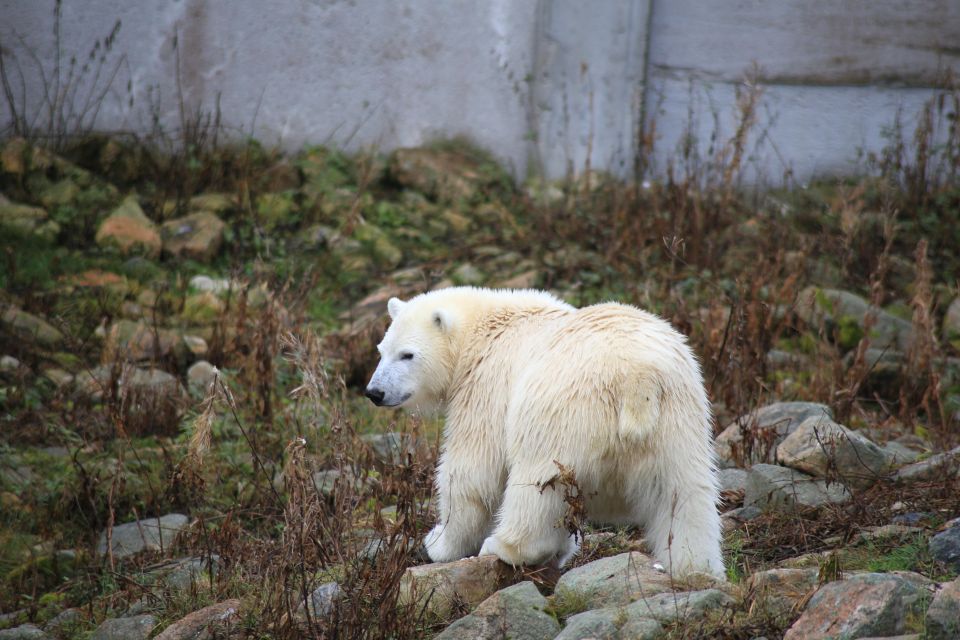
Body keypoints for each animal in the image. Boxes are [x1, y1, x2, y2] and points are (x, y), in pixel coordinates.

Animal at [364, 288, 724, 576]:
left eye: (407, 355)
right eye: (381, 350)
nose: (374, 392)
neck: (481, 330)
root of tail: (638, 376)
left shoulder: (487, 384)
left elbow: (472, 469)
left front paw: (439, 542)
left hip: (562, 409)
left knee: (537, 484)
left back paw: (506, 546)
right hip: (678, 415)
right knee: (684, 492)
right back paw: (695, 567)